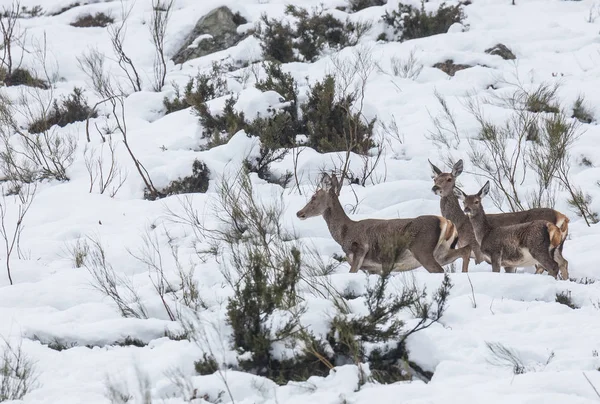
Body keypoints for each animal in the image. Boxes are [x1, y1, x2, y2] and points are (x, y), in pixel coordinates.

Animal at [296, 174, 474, 274]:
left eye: (313, 197)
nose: (299, 213)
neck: (345, 233)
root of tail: (447, 222)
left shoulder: (359, 252)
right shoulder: (373, 268)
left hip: (422, 249)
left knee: (439, 269)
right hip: (441, 252)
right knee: (464, 251)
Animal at [428, 158, 568, 274]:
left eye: (449, 179)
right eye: (435, 179)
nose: (435, 188)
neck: (461, 223)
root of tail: (563, 218)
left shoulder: (477, 250)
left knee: (546, 266)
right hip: (556, 248)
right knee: (563, 262)